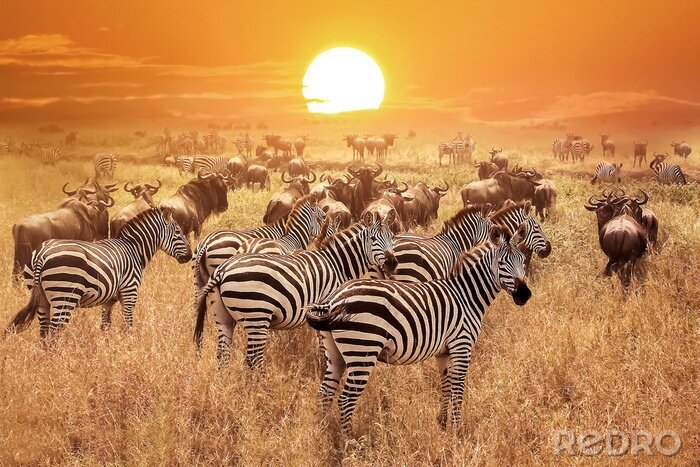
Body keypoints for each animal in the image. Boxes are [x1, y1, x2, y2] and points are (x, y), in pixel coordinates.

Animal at [5, 208, 192, 339]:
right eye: (178, 232)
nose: (190, 256)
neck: (133, 249)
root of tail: (42, 255)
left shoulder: (108, 300)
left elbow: (105, 326)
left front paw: (107, 349)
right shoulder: (130, 292)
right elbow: (128, 325)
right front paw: (128, 348)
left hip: (41, 298)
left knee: (44, 332)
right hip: (64, 297)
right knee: (54, 332)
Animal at [193, 213, 396, 368]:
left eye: (392, 238)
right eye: (373, 239)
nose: (392, 263)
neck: (336, 264)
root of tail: (222, 271)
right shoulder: (325, 309)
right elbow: (322, 344)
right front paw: (322, 365)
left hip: (223, 316)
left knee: (222, 352)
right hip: (256, 315)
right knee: (253, 358)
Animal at [306, 224, 531, 434]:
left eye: (522, 260)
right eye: (502, 263)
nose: (525, 295)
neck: (466, 295)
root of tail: (333, 300)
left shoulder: (443, 352)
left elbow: (446, 386)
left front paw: (443, 423)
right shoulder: (462, 345)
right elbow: (458, 389)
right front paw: (458, 430)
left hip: (335, 354)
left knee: (325, 393)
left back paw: (324, 434)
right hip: (363, 349)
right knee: (345, 400)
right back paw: (351, 442)